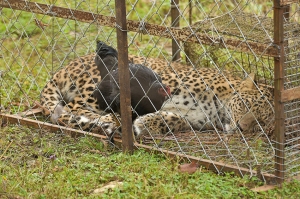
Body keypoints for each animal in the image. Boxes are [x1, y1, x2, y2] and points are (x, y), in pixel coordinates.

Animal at [39, 49, 274, 138]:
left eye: (261, 122)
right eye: (244, 105)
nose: (242, 127)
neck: (219, 109)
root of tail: (66, 67)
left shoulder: (193, 119)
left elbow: (172, 119)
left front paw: (144, 123)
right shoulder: (168, 81)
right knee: (73, 108)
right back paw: (107, 120)